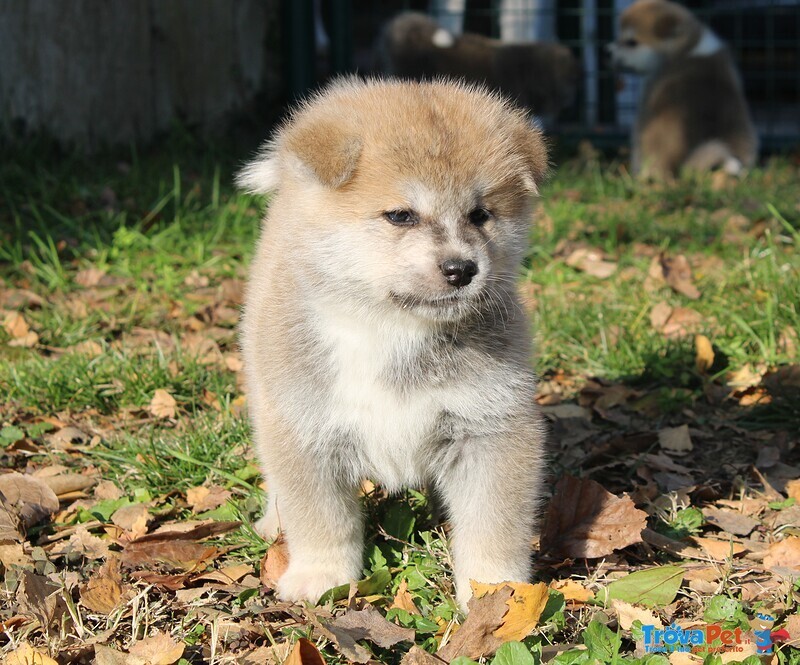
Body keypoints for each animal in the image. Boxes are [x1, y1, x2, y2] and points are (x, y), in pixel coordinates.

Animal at [238, 76, 552, 608]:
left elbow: (492, 526)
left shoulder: (492, 426)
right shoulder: (305, 427)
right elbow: (321, 518)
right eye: (401, 216)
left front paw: (494, 592)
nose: (462, 268)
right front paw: (322, 575)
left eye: (480, 214)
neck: (390, 330)